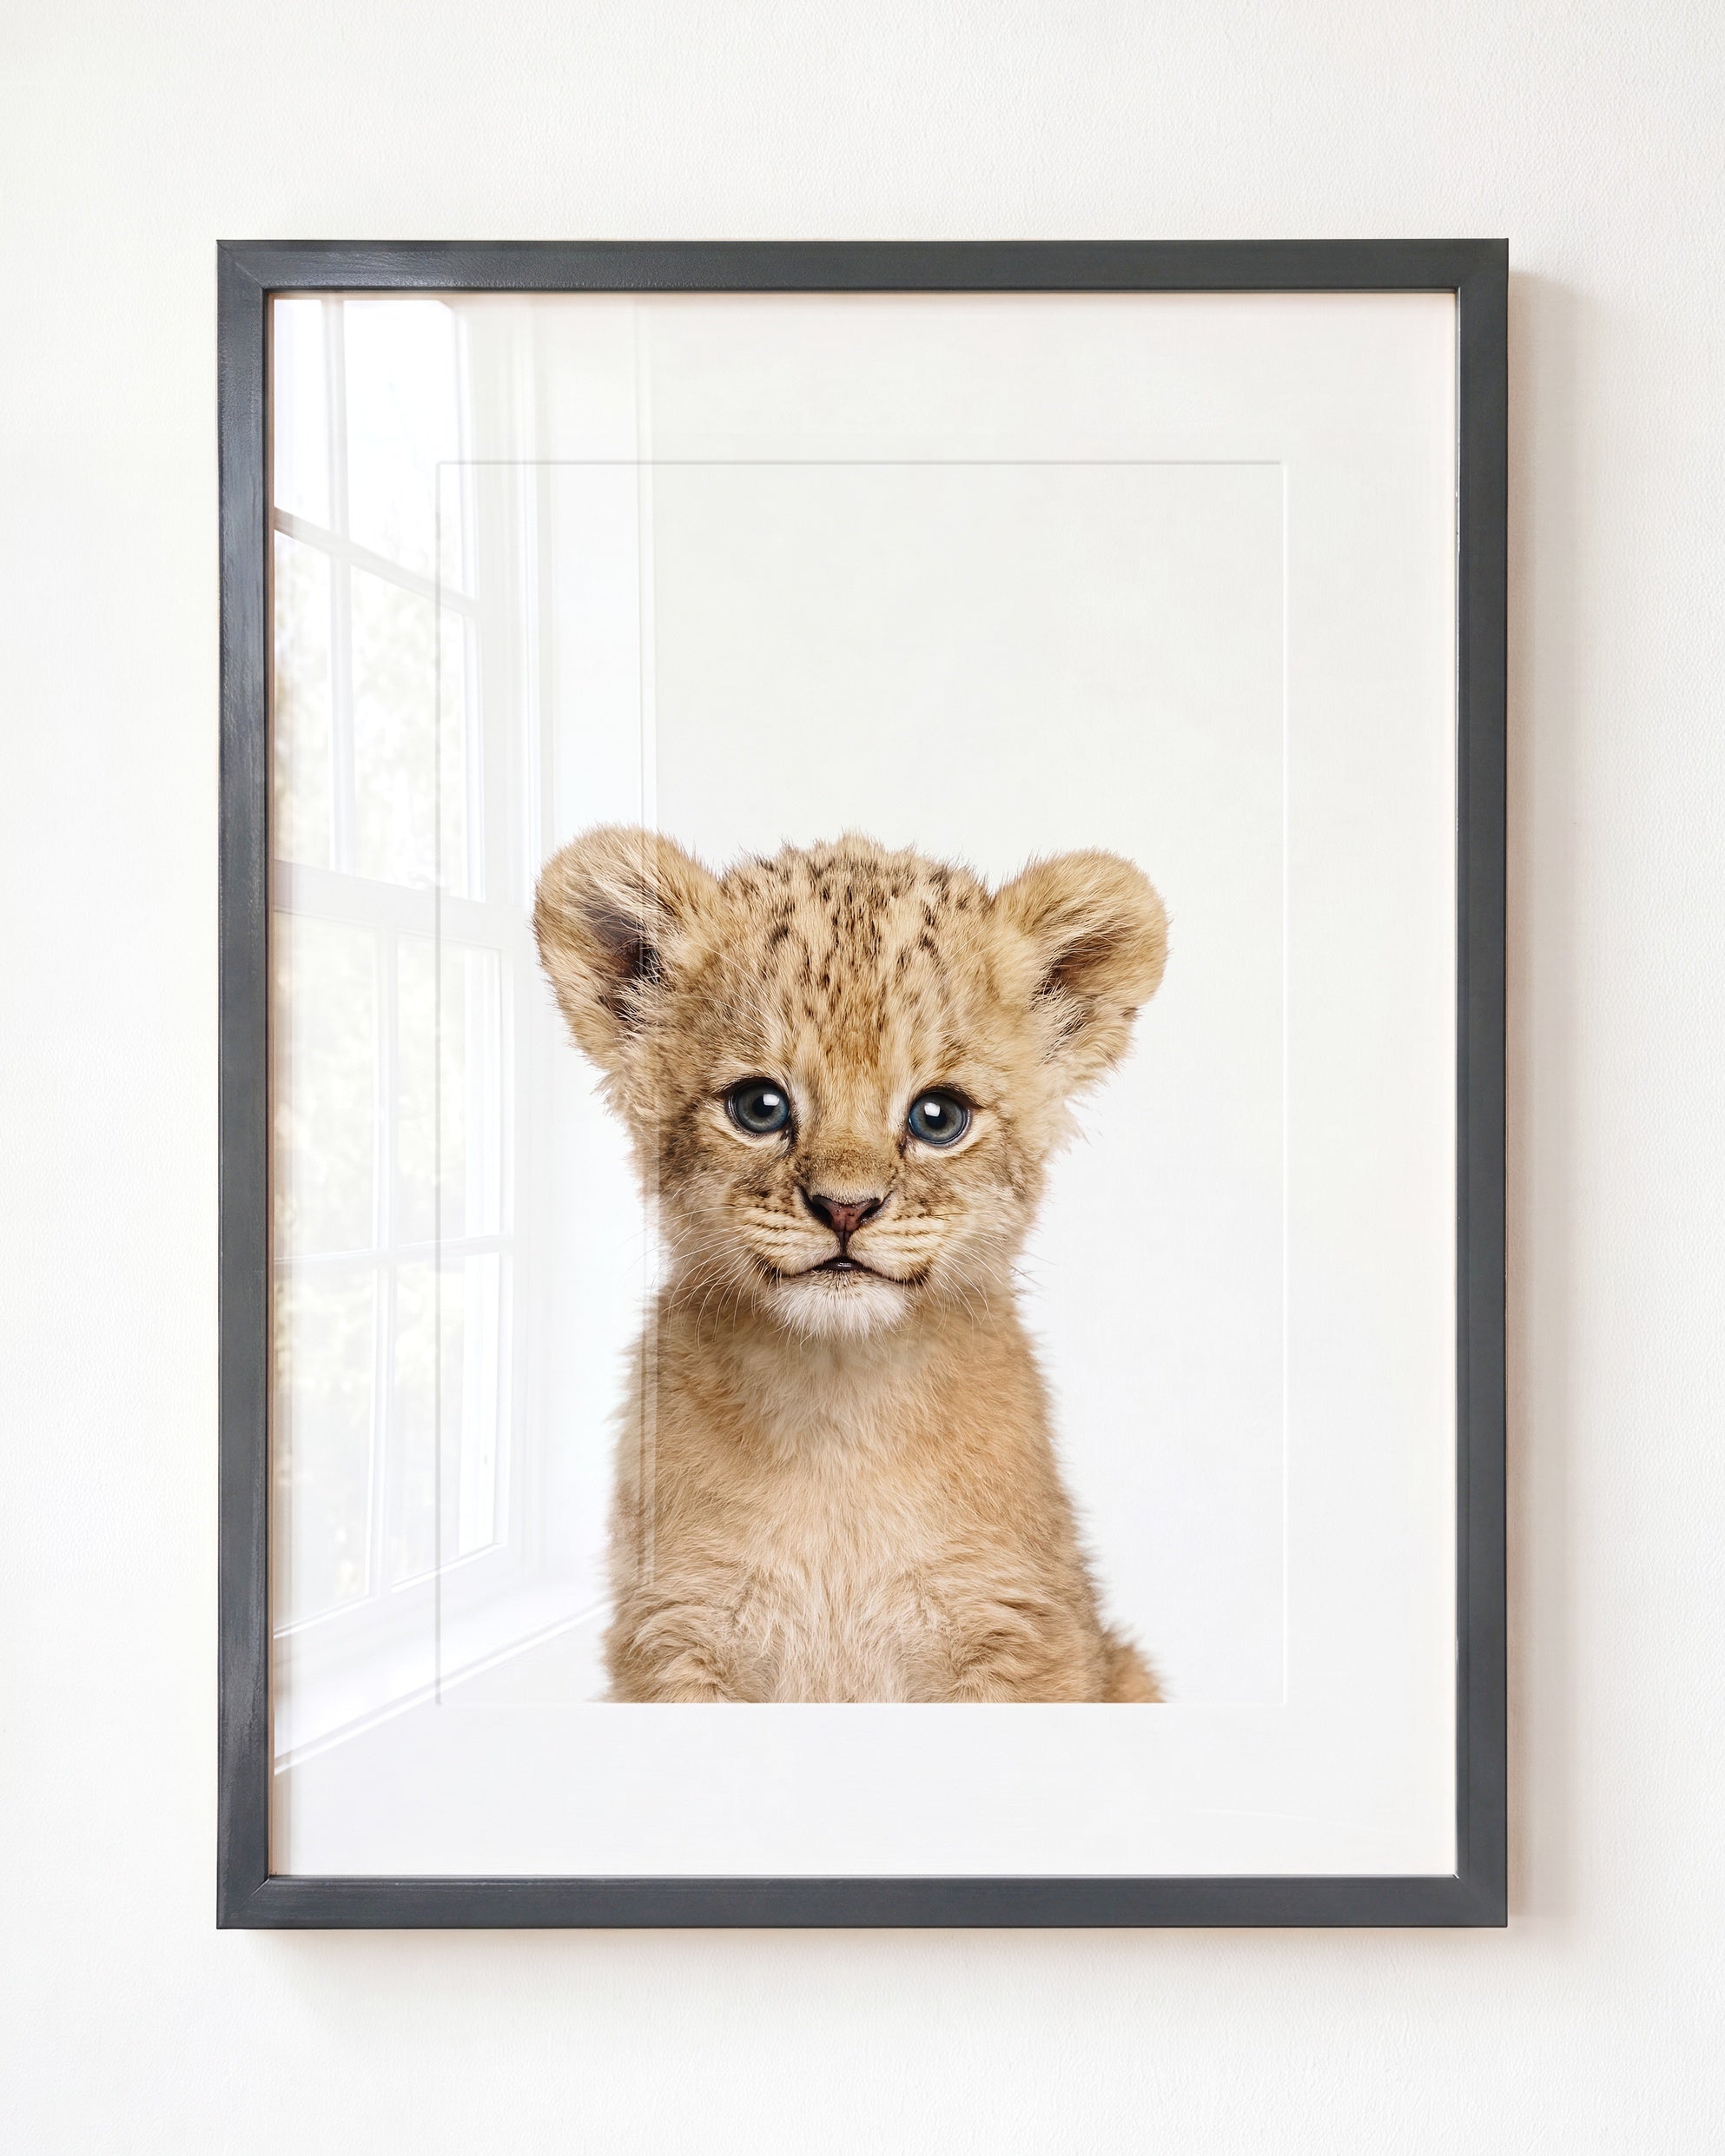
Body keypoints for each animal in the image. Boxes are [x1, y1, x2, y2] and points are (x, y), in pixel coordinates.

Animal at [533, 828, 1168, 1702]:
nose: (845, 1208)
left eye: (938, 1117)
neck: (838, 1410)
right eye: (760, 1107)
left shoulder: (1019, 1631)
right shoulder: (677, 1632)